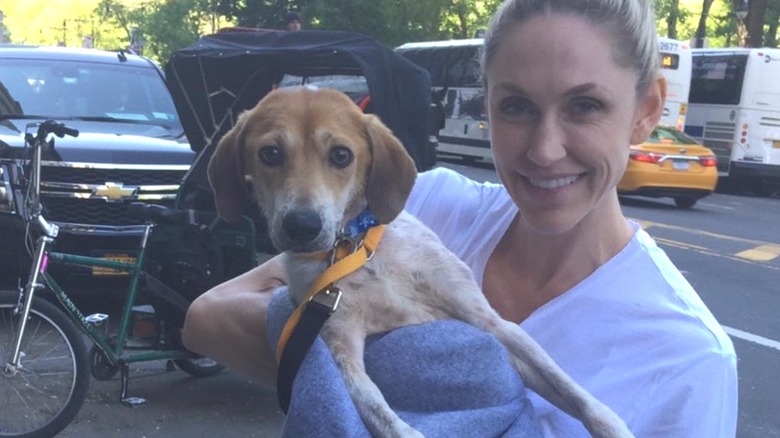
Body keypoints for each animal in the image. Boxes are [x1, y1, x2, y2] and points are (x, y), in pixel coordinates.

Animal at [209, 86, 632, 438]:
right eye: (270, 153)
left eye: (341, 155)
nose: (302, 226)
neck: (355, 251)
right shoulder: (340, 345)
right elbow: (379, 411)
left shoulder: (488, 320)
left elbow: (571, 389)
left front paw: (611, 425)